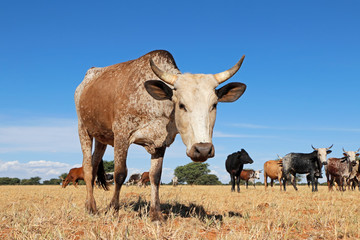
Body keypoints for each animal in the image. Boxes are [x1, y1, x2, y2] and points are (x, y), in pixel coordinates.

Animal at [74, 50, 248, 221]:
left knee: (94, 164)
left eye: (214, 105)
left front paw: (156, 214)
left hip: (101, 138)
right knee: (88, 167)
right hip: (83, 129)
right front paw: (113, 210)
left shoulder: (160, 143)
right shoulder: (122, 135)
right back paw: (92, 207)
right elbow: (120, 173)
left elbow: (155, 176)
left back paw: (89, 204)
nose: (203, 149)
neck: (155, 105)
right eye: (181, 105)